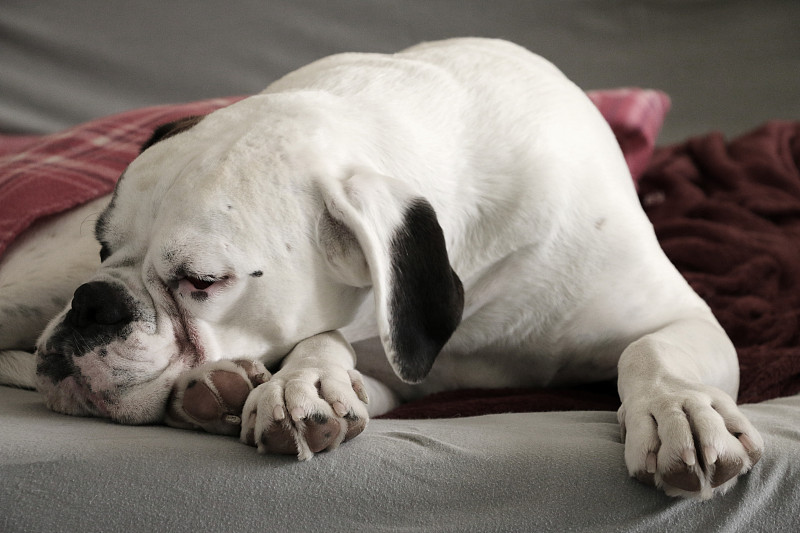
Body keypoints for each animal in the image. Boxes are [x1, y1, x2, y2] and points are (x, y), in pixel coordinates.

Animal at [0, 38, 764, 498]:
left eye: (203, 282)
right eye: (104, 248)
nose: (94, 301)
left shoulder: (685, 318)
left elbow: (651, 353)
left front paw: (678, 410)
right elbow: (326, 340)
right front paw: (301, 382)